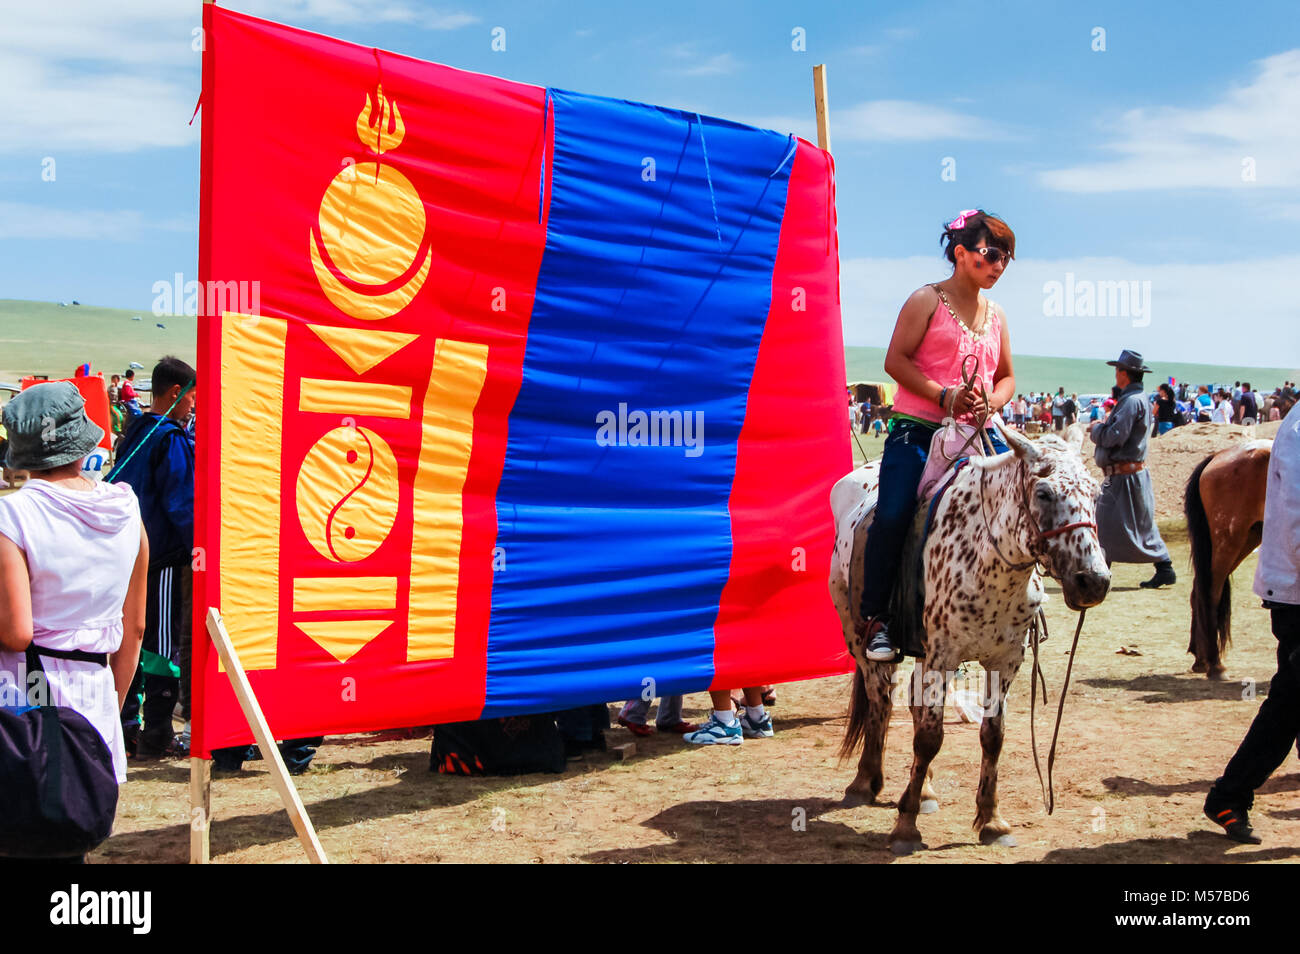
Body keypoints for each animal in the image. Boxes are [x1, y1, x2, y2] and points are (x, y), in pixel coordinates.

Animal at [826, 421, 1112, 857]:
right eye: (1044, 493)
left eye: (1095, 494)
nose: (1093, 580)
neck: (987, 559)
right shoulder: (942, 656)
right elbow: (929, 738)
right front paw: (905, 828)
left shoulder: (1004, 662)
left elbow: (992, 737)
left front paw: (991, 821)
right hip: (860, 638)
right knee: (881, 701)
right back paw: (865, 781)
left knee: (912, 703)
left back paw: (923, 791)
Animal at [1190, 441, 1268, 681]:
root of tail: (1218, 456)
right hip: (1229, 540)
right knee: (1210, 593)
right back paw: (1215, 665)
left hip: (1249, 537)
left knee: (1198, 590)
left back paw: (1200, 659)